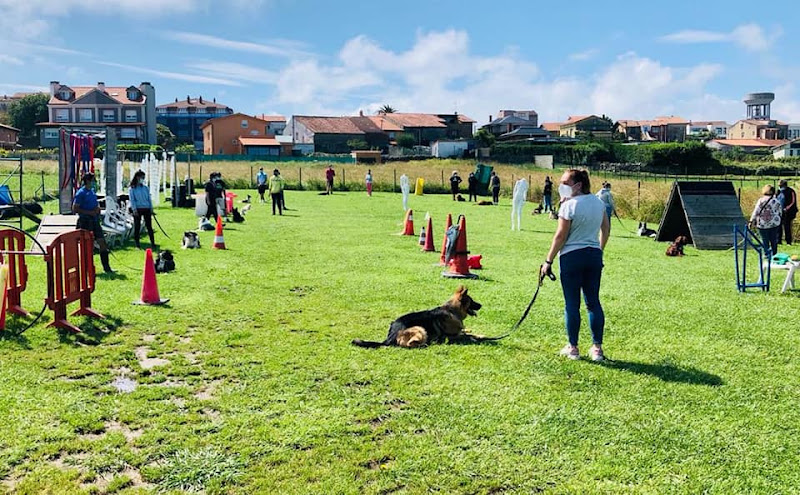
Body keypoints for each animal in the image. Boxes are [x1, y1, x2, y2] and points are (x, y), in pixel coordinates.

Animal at [352, 286, 488, 348]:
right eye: (472, 301)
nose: (481, 305)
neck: (452, 311)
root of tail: (389, 338)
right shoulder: (450, 336)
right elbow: (467, 335)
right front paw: (475, 338)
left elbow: (468, 332)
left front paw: (480, 335)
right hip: (420, 329)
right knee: (410, 344)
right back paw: (428, 344)